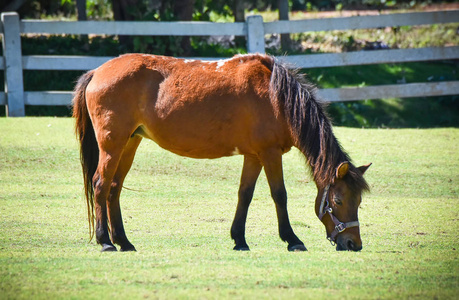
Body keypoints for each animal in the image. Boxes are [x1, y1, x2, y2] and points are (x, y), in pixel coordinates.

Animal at [73, 52, 372, 252]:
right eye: (338, 200)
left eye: (359, 201)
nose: (353, 244)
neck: (276, 97)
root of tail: (97, 71)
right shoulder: (270, 153)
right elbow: (279, 195)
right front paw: (292, 239)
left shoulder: (254, 155)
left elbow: (245, 194)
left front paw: (239, 239)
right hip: (112, 145)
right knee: (100, 185)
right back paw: (105, 241)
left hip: (129, 144)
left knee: (114, 188)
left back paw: (123, 241)